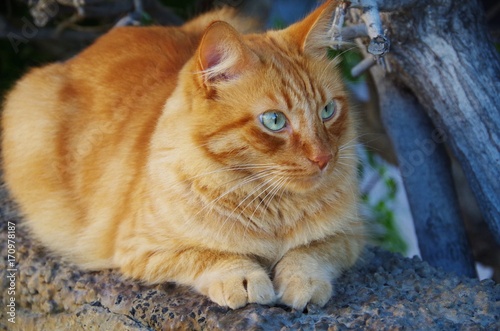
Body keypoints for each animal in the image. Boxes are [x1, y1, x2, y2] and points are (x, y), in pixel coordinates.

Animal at [1, 0, 366, 312]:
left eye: (327, 110)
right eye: (274, 121)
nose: (323, 158)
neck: (270, 207)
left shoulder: (349, 235)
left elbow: (311, 252)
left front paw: (302, 280)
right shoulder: (141, 249)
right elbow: (207, 255)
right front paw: (243, 277)